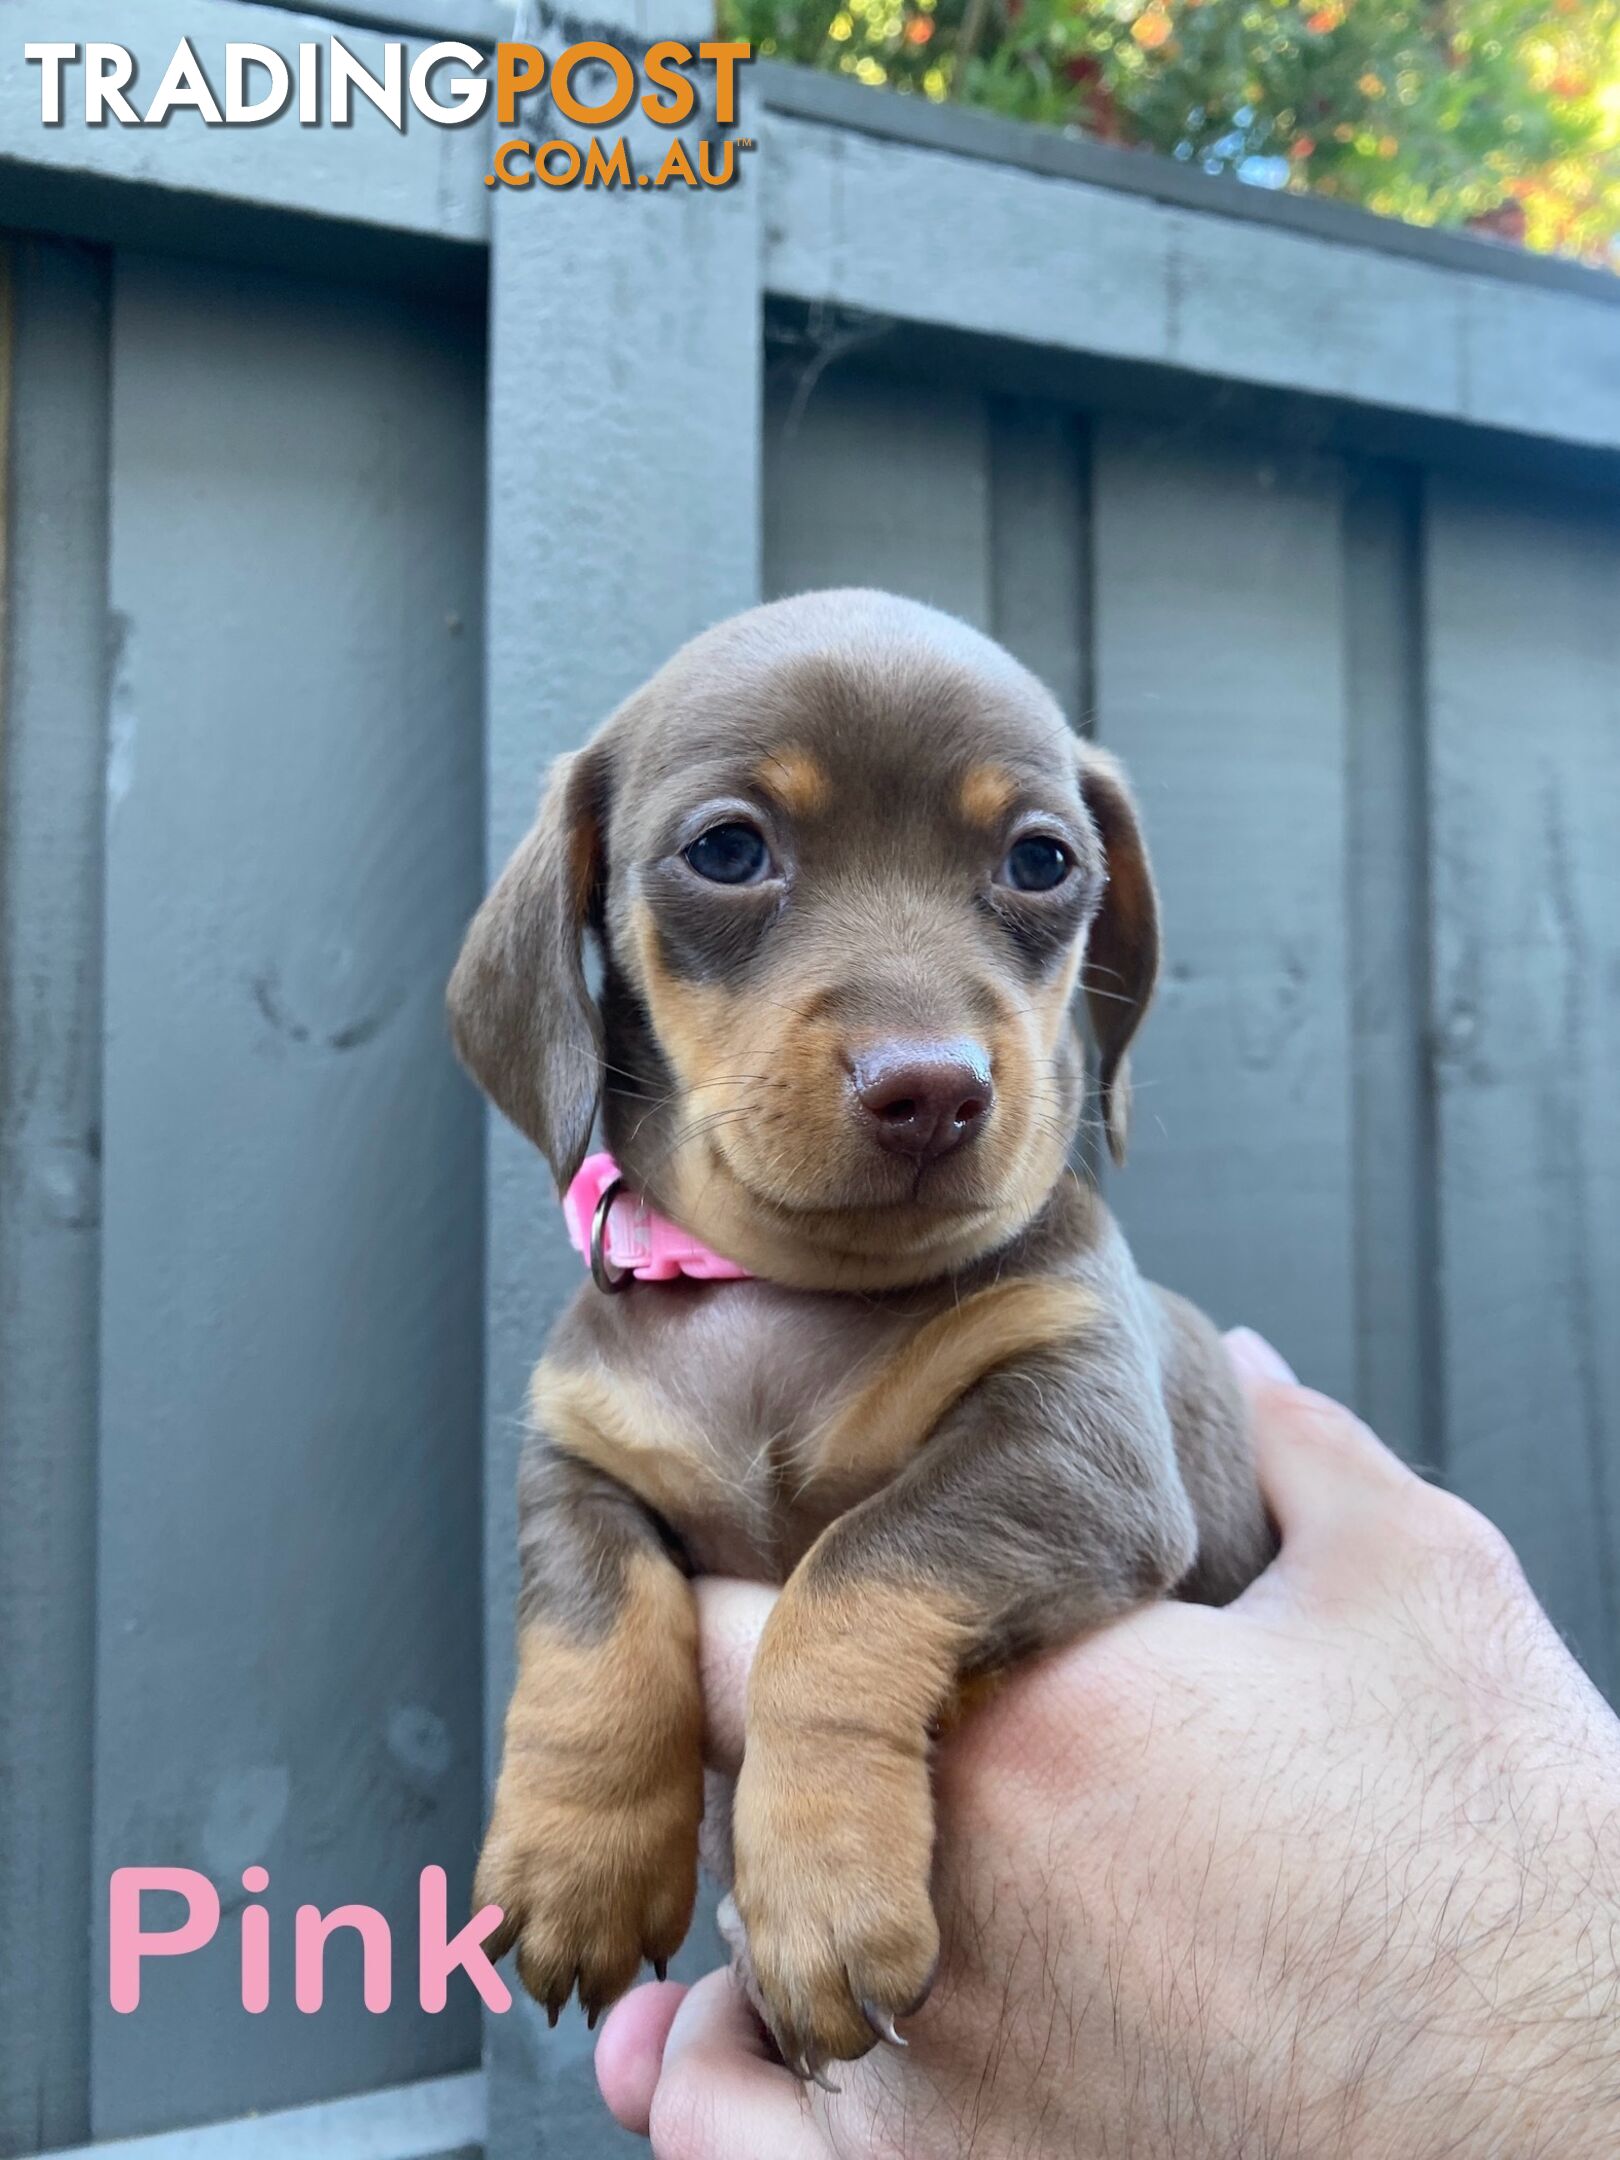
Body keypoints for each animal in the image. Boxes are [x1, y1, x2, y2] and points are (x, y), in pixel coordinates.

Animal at [451, 587, 1278, 2073]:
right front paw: (576, 1859)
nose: (931, 1090)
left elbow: (853, 1575)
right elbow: (594, 1616)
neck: (797, 1292)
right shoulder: (581, 1457)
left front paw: (822, 1890)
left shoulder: (1074, 1447)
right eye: (728, 849)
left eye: (1041, 859)